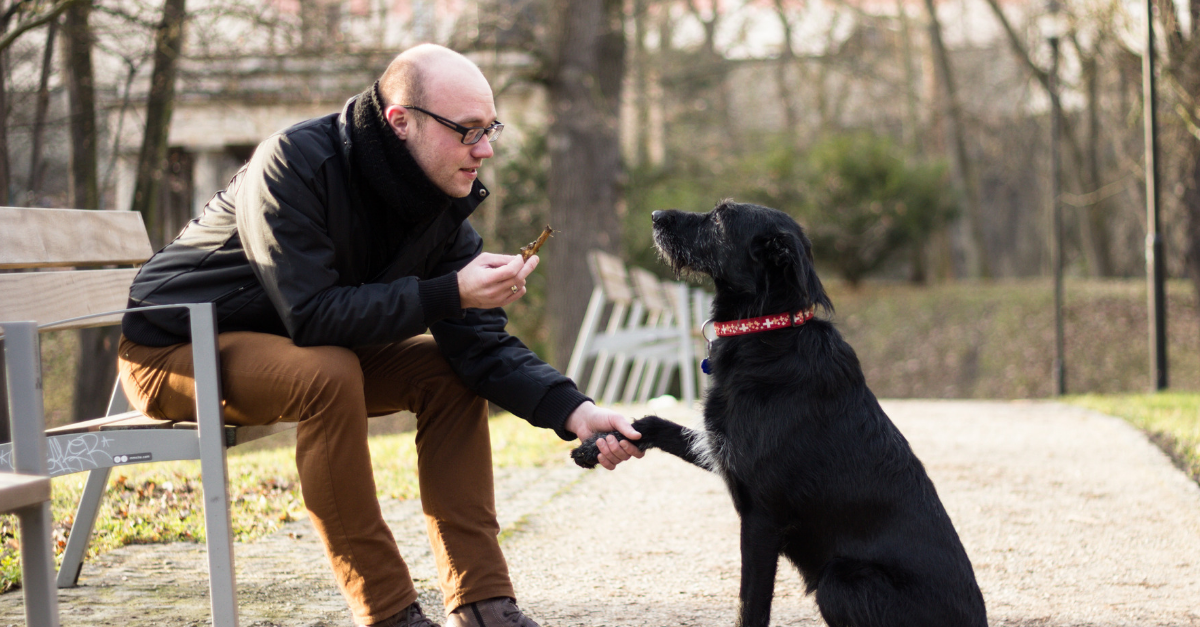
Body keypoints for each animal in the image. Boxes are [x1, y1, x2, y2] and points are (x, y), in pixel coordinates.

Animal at [571, 201, 984, 624]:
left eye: (720, 217)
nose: (655, 216)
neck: (763, 331)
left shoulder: (761, 518)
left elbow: (751, 606)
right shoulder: (720, 449)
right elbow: (655, 423)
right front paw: (598, 443)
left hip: (840, 580)